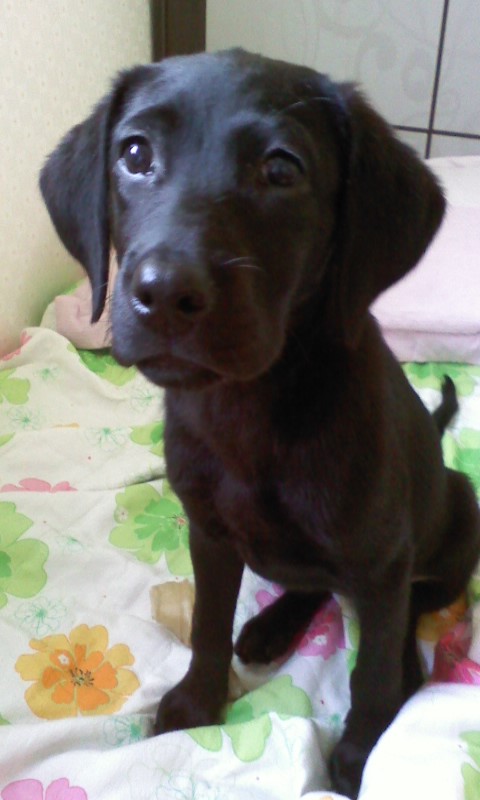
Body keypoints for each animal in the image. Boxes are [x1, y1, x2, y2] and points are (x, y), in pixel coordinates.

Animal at [40, 49, 480, 798]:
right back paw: (272, 627)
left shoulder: (382, 562)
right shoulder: (210, 535)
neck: (246, 405)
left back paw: (402, 670)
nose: (163, 292)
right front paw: (198, 701)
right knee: (315, 587)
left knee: (405, 611)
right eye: (134, 154)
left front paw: (360, 755)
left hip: (455, 523)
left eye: (281, 170)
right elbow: (210, 624)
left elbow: (370, 670)